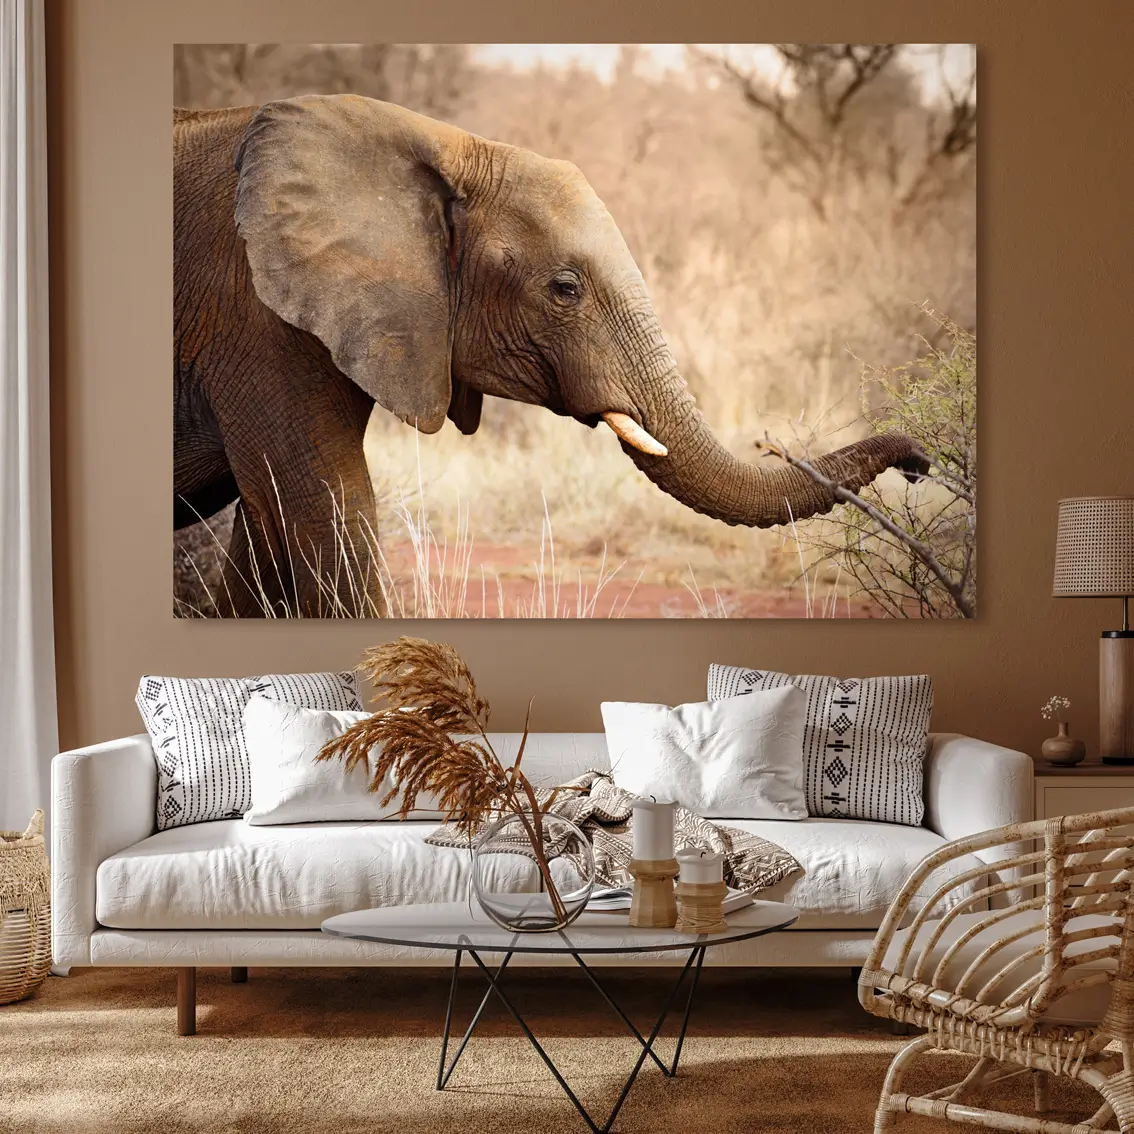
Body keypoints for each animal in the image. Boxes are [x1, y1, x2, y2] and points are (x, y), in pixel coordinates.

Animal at [173, 94, 927, 617]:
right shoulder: (255, 319)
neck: (441, 148)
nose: (919, 461)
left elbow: (266, 542)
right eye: (565, 289)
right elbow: (325, 513)